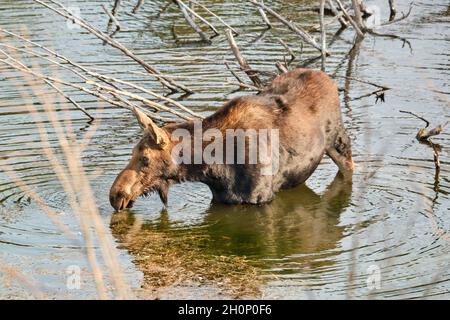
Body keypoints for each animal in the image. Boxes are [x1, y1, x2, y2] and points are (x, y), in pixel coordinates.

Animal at [109, 69, 352, 211]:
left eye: (145, 158)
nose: (115, 195)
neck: (212, 168)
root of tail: (329, 79)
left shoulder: (259, 199)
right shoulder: (222, 199)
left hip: (338, 141)